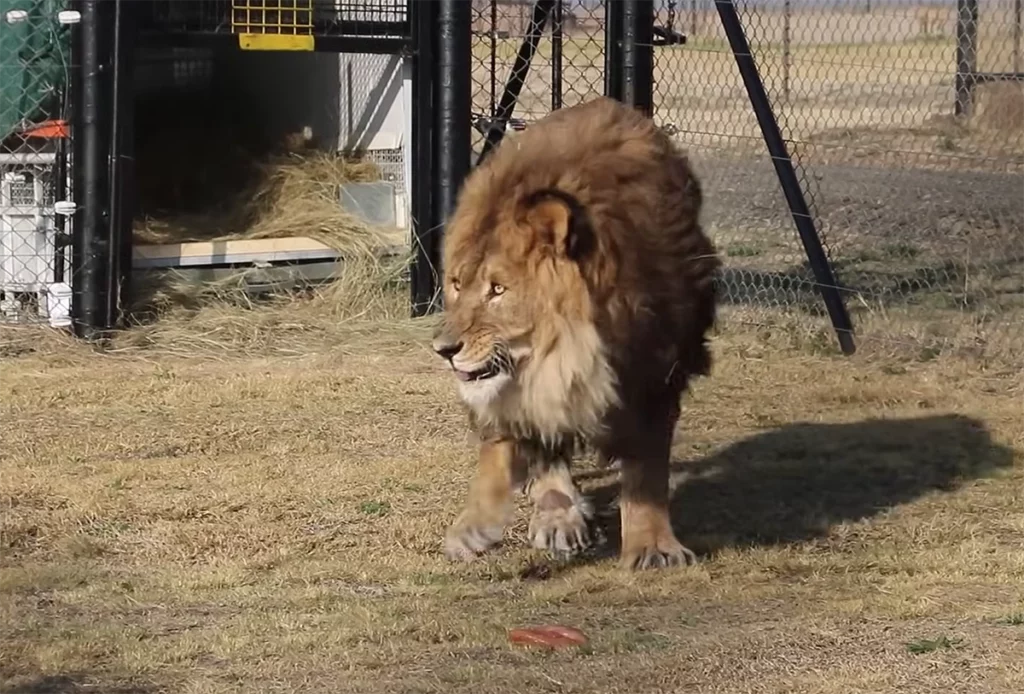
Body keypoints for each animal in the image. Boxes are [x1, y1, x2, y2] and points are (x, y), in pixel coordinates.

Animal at [431, 97, 720, 570]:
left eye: (498, 289)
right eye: (457, 283)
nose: (443, 349)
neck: (568, 351)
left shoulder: (654, 370)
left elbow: (647, 469)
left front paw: (653, 547)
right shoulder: (514, 390)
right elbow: (503, 442)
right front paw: (474, 527)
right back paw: (558, 515)